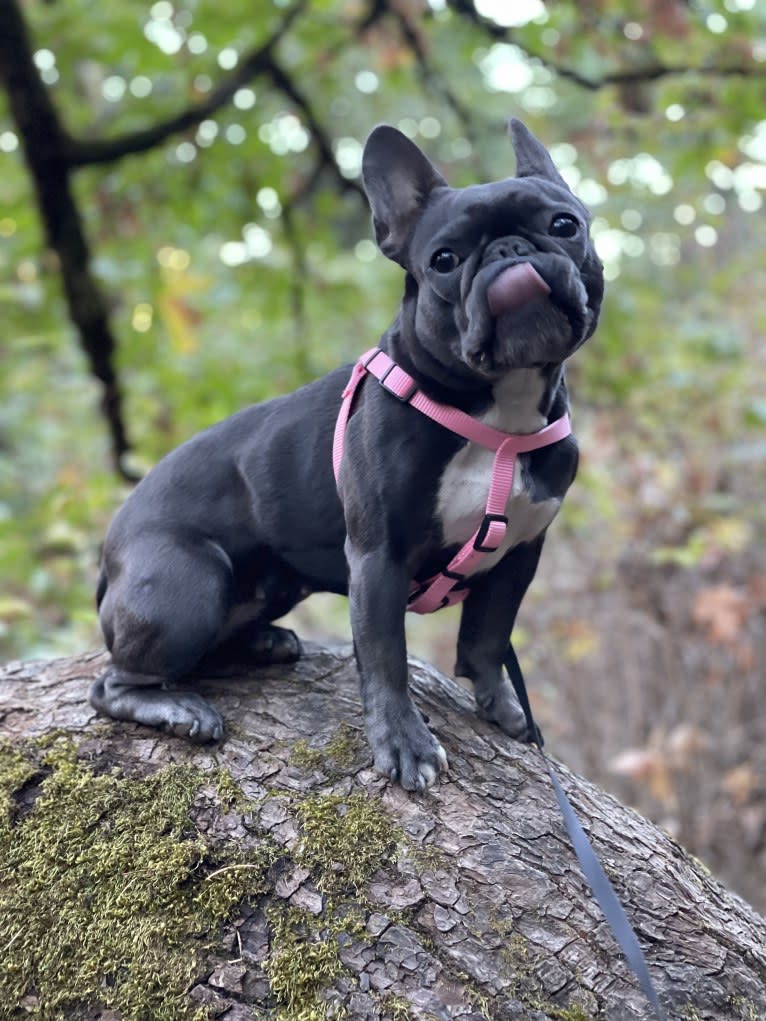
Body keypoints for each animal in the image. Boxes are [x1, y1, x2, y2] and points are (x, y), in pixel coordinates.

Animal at [91, 117, 604, 788]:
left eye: (564, 225)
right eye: (443, 260)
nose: (508, 250)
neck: (494, 417)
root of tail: (109, 554)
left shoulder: (518, 550)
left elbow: (488, 640)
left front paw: (506, 712)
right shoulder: (378, 557)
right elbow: (386, 659)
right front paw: (406, 746)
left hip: (271, 584)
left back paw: (262, 644)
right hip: (186, 587)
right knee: (113, 683)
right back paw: (177, 708)